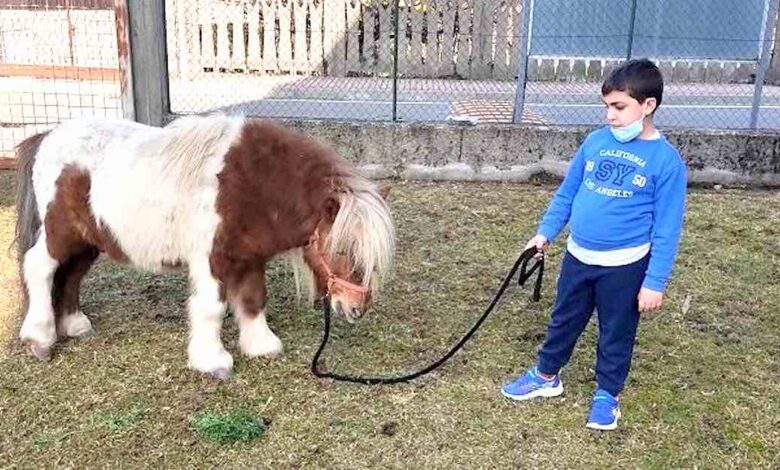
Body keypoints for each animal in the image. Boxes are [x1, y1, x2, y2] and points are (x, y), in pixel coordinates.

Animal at [13, 115, 396, 380]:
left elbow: (253, 300)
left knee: (71, 275)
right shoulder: (213, 259)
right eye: (343, 251)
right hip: (59, 233)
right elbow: (212, 308)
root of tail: (46, 137)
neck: (253, 184)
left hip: (87, 241)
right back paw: (40, 338)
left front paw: (261, 346)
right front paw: (213, 362)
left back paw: (74, 324)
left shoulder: (249, 258)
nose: (357, 308)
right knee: (40, 268)